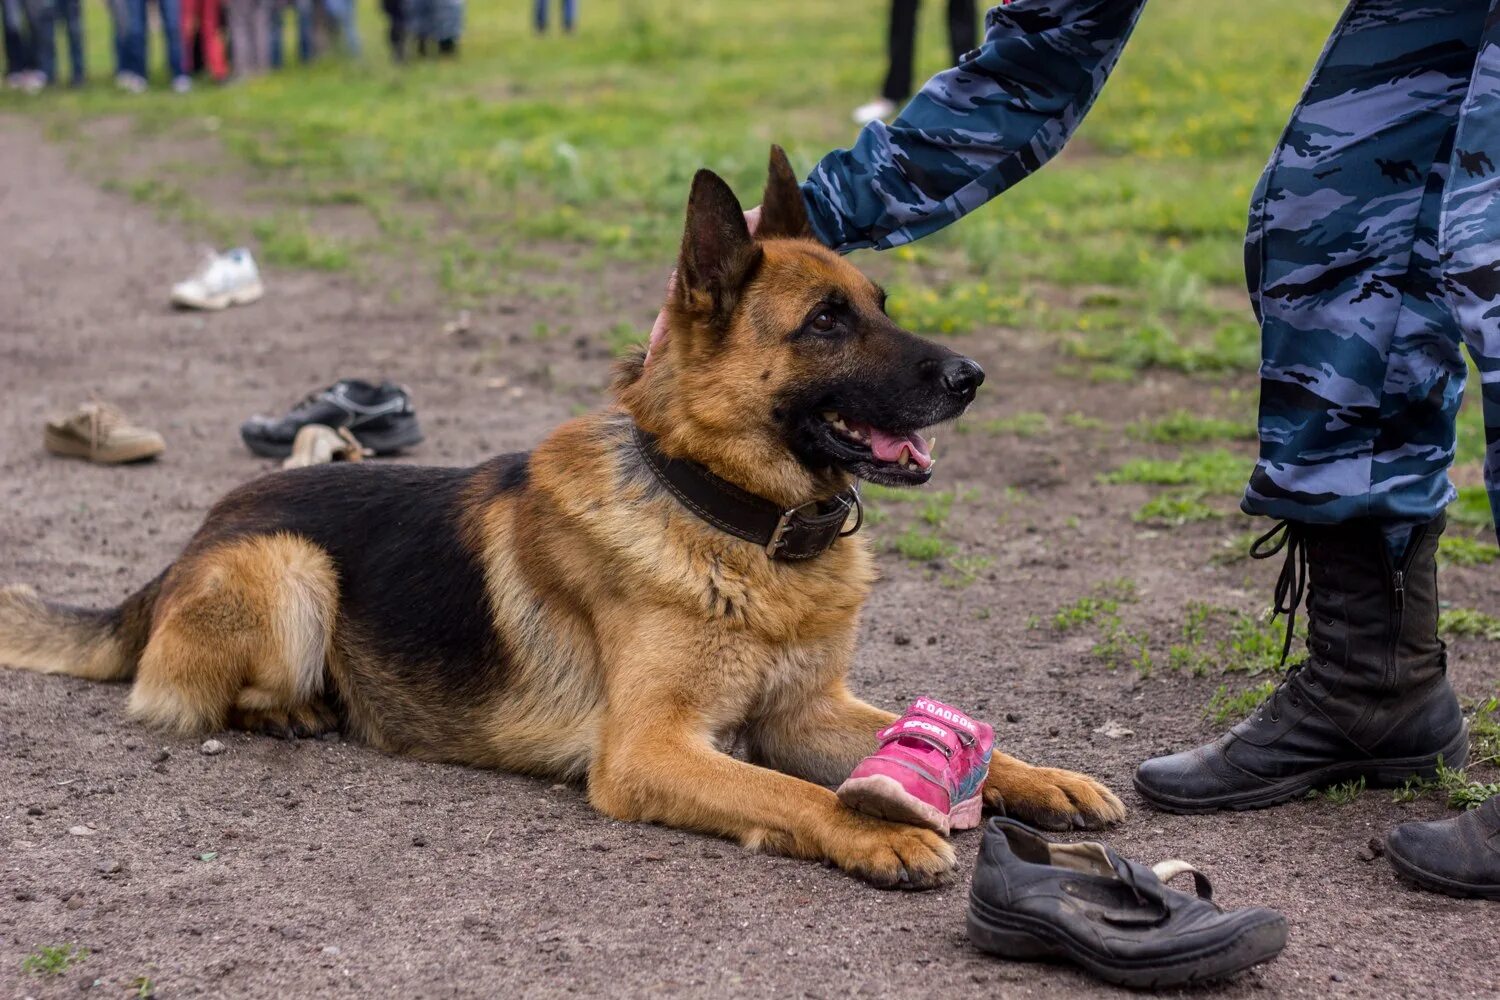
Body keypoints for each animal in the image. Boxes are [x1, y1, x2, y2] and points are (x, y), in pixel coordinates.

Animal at [2, 146, 1128, 881]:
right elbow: (792, 795)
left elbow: (899, 735)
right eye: (825, 322)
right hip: (288, 565)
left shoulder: (804, 713)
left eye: (882, 303)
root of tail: (184, 545)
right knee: (192, 692)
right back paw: (295, 708)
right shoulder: (652, 752)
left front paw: (1040, 778)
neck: (733, 523)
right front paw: (875, 829)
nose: (972, 378)